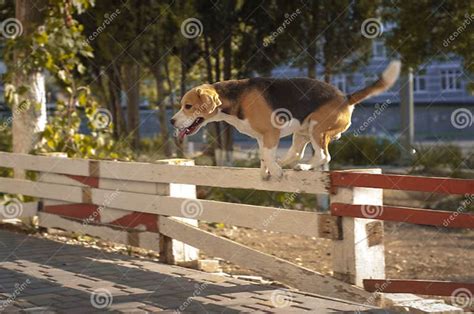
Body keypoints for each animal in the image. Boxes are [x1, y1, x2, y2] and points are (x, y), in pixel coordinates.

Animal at [170, 60, 400, 179]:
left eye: (187, 106)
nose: (172, 121)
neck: (235, 97)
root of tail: (345, 97)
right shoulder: (261, 137)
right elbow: (264, 155)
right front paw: (267, 170)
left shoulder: (271, 132)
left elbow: (267, 154)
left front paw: (275, 171)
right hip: (302, 131)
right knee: (297, 152)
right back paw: (286, 162)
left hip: (317, 129)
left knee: (323, 156)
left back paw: (302, 167)